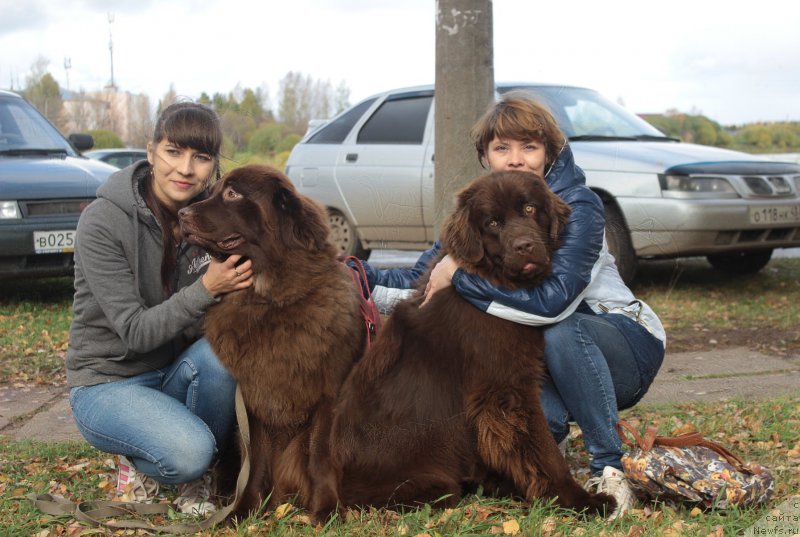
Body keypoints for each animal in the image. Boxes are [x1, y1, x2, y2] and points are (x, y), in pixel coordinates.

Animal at [178, 164, 366, 516]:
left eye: (232, 193)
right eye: (215, 191)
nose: (182, 214)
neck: (269, 300)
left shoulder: (328, 394)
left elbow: (319, 455)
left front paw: (326, 508)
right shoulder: (253, 397)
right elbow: (256, 458)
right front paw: (245, 508)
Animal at [310, 169, 616, 520]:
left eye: (529, 209)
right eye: (492, 223)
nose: (524, 246)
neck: (494, 278)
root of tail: (327, 475)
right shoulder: (506, 388)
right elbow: (543, 450)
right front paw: (577, 500)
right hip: (433, 484)